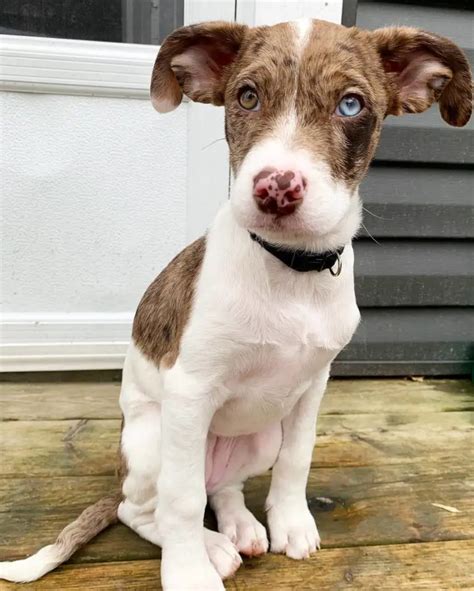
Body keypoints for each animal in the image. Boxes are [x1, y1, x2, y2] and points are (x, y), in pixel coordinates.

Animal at [1, 18, 472, 591]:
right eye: (247, 96)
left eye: (351, 105)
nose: (276, 188)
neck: (291, 270)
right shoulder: (190, 389)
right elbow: (181, 501)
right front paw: (187, 574)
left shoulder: (313, 386)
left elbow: (298, 459)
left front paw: (291, 521)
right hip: (153, 440)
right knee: (149, 508)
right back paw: (209, 548)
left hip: (258, 435)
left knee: (220, 487)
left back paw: (239, 528)